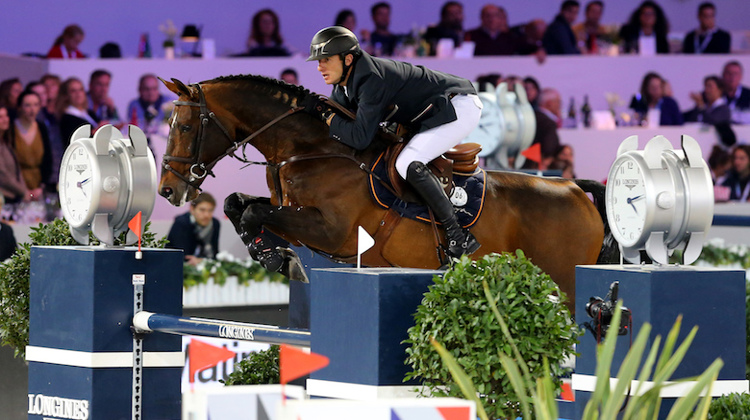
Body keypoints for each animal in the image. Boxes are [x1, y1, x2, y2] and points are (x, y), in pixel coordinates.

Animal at [156, 76, 612, 312]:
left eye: (185, 126)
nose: (167, 190)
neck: (309, 149)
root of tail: (573, 186)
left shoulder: (332, 231)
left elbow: (252, 213)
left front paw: (279, 259)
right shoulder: (291, 210)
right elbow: (238, 205)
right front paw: (273, 255)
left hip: (565, 286)